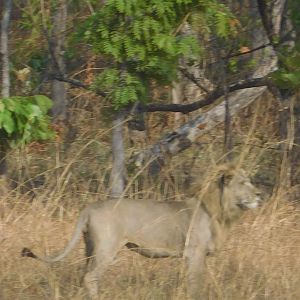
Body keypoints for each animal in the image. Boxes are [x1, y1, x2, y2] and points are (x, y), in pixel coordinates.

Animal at [21, 165, 260, 298]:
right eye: (243, 183)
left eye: (250, 181)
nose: (259, 194)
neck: (221, 210)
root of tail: (89, 208)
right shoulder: (195, 253)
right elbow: (194, 284)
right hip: (106, 247)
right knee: (90, 277)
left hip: (89, 247)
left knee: (84, 274)